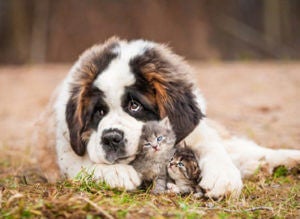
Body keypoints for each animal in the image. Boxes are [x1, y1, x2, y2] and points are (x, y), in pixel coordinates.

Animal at [34, 37, 300, 198]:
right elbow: (80, 163)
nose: (111, 138)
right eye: (98, 112)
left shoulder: (196, 131)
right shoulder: (64, 146)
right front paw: (116, 172)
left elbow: (211, 147)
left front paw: (222, 175)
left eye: (134, 105)